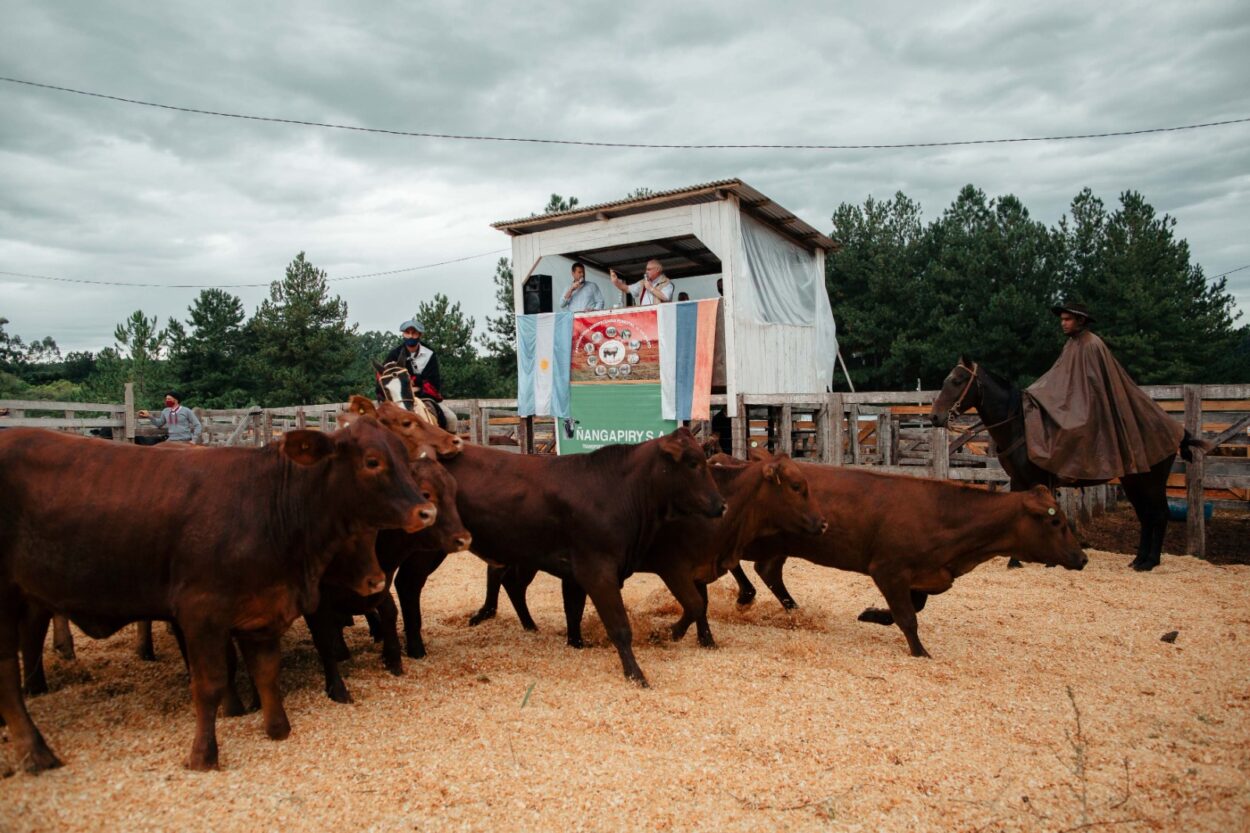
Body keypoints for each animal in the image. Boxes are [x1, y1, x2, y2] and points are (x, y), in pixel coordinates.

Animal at [0, 417, 437, 770]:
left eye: (403, 455)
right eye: (372, 461)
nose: (426, 511)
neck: (270, 507)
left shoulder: (262, 611)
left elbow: (266, 672)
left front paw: (278, 729)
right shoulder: (200, 613)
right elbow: (210, 682)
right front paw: (203, 754)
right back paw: (35, 751)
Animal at [390, 425, 725, 685]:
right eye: (693, 463)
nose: (721, 505)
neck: (617, 490)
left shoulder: (576, 572)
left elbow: (573, 611)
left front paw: (577, 644)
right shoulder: (597, 570)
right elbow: (619, 626)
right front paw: (636, 674)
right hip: (429, 550)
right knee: (408, 585)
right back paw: (416, 647)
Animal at [730, 460, 1090, 655]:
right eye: (1056, 522)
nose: (1082, 558)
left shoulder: (923, 575)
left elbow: (911, 608)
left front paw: (871, 614)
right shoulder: (888, 569)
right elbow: (908, 617)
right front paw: (921, 653)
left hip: (778, 547)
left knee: (768, 570)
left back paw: (792, 610)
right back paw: (747, 595)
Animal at [930, 357, 1200, 570]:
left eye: (957, 381)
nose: (934, 417)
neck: (1020, 426)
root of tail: (1175, 429)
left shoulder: (1039, 480)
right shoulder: (1018, 479)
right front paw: (1015, 560)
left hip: (1151, 482)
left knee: (1159, 514)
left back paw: (1150, 562)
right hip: (1134, 483)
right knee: (1146, 516)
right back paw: (1138, 560)